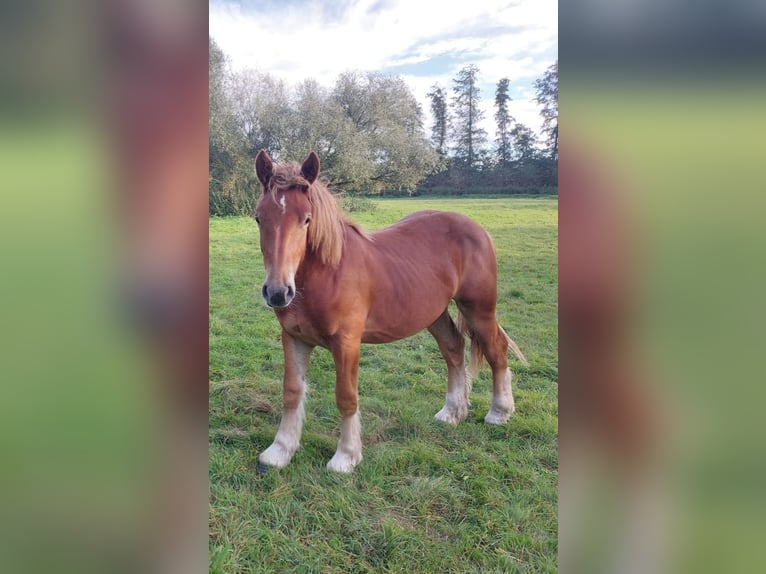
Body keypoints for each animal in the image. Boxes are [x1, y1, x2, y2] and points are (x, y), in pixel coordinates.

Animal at [254, 151, 528, 474]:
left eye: (306, 219)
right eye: (259, 218)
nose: (277, 292)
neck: (327, 273)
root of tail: (478, 228)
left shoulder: (347, 344)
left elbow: (346, 397)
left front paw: (346, 456)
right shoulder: (294, 338)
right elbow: (292, 392)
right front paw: (279, 451)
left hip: (479, 308)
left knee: (496, 350)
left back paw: (499, 412)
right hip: (434, 313)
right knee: (453, 349)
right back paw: (451, 412)